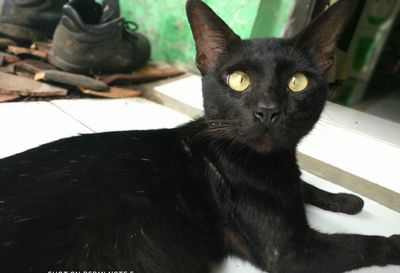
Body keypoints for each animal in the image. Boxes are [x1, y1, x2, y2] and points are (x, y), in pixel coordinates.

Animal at [0, 0, 400, 272]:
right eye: (238, 80)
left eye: (297, 82)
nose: (268, 109)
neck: (268, 166)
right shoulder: (290, 254)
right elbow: (362, 244)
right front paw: (393, 242)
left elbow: (304, 184)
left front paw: (346, 199)